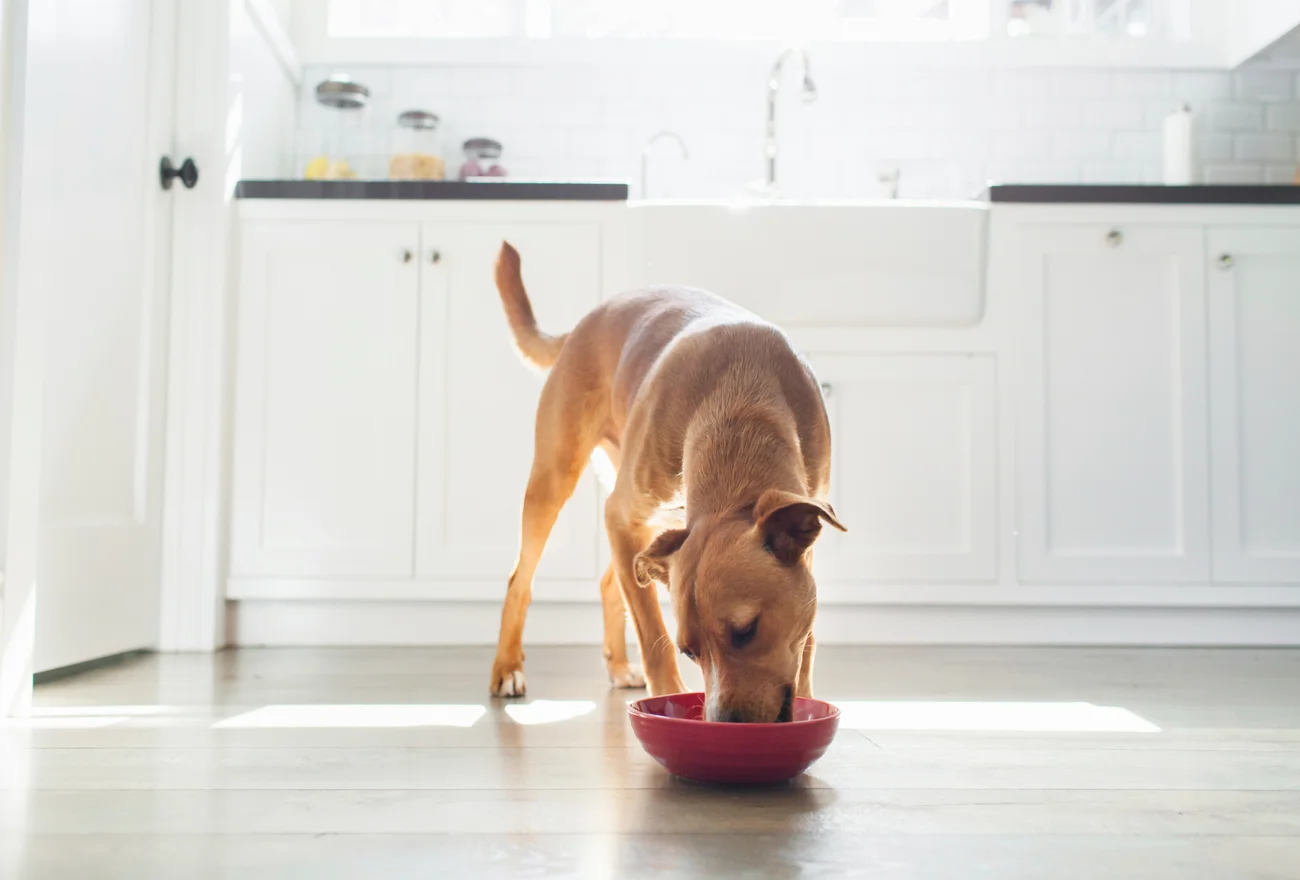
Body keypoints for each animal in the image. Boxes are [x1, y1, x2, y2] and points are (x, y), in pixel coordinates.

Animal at [488, 241, 842, 722]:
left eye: (746, 631)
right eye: (690, 651)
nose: (723, 725)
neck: (741, 407)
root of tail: (581, 326)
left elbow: (806, 641)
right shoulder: (622, 518)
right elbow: (652, 636)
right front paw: (665, 700)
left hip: (650, 526)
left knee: (610, 583)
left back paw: (619, 667)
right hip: (555, 479)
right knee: (520, 582)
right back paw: (507, 668)